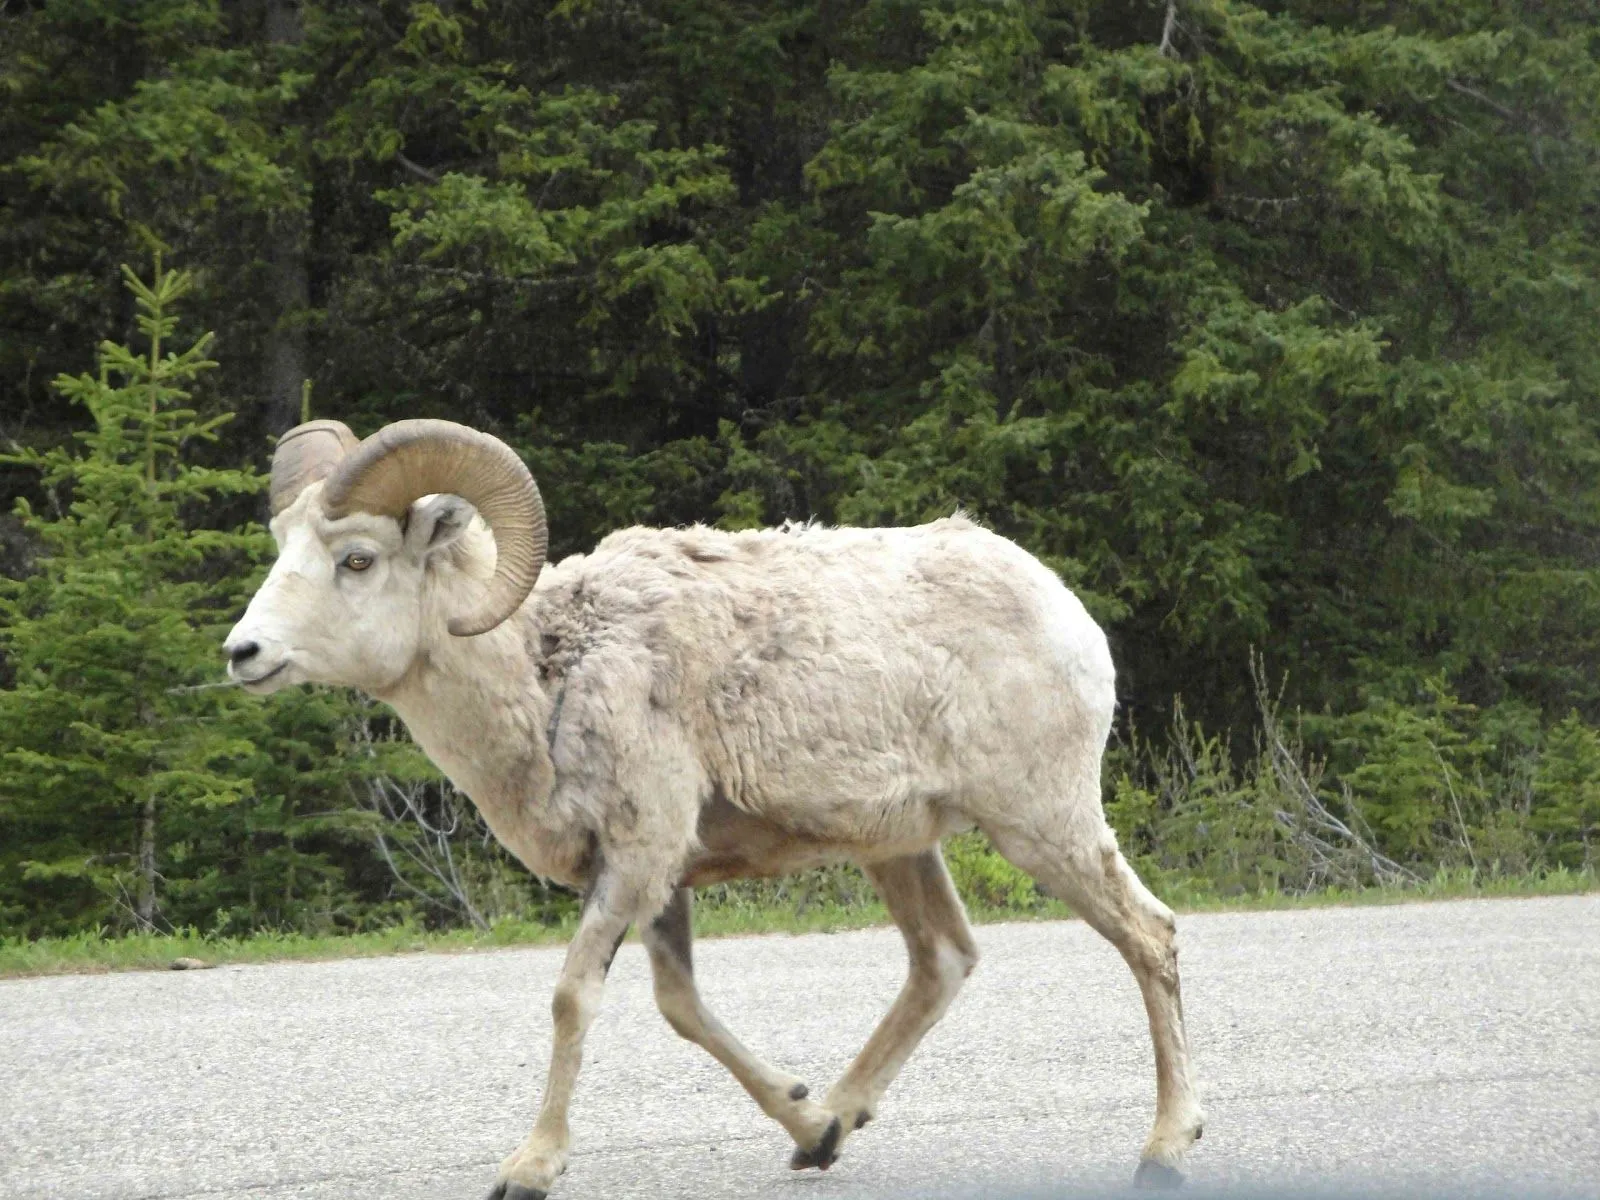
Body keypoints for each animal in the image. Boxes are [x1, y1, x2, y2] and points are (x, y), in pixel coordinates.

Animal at [222, 419, 1203, 1196]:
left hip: (1041, 823)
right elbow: (680, 1007)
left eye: (356, 559)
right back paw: (838, 1120)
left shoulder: (636, 861)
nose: (244, 653)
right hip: (899, 845)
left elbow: (573, 999)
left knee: (1148, 936)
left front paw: (530, 1168)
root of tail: (1063, 609)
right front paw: (809, 1125)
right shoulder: (659, 880)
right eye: (282, 546)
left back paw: (1166, 1149)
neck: (544, 677)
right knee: (943, 961)